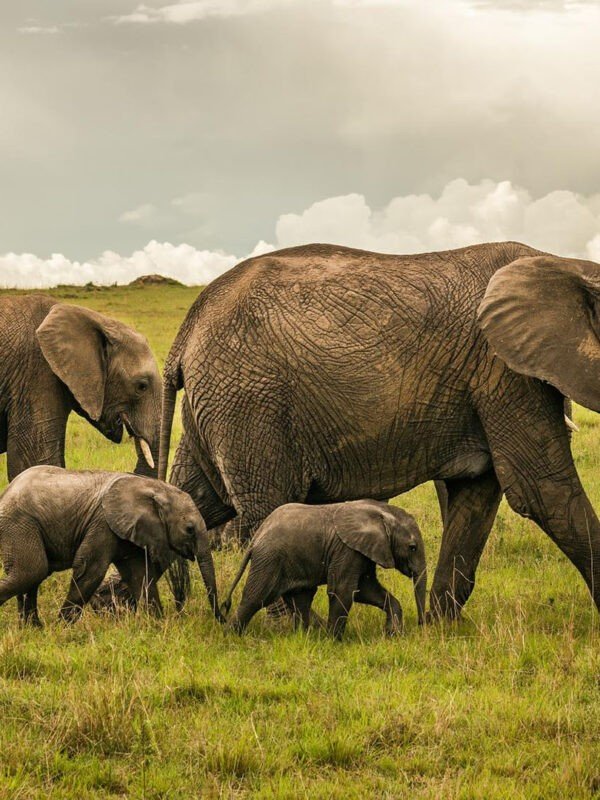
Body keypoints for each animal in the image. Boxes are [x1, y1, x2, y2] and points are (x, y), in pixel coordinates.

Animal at [0, 465, 222, 625]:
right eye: (190, 529)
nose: (221, 618)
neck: (155, 487)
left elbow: (141, 575)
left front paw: (156, 625)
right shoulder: (102, 523)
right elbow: (91, 571)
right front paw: (61, 627)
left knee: (32, 576)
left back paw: (34, 628)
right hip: (19, 523)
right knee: (32, 571)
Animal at [158, 241, 600, 621]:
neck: (568, 265)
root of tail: (187, 329)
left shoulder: (491, 377)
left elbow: (475, 497)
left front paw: (442, 628)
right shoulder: (502, 369)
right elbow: (540, 490)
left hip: (220, 403)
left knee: (196, 499)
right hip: (250, 402)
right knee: (269, 504)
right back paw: (294, 627)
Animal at [222, 500, 427, 639]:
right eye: (412, 547)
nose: (421, 624)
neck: (380, 511)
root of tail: (257, 537)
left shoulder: (364, 551)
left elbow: (365, 590)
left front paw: (392, 633)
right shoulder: (347, 550)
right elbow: (343, 590)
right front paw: (333, 641)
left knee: (300, 599)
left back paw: (302, 637)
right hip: (269, 559)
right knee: (256, 597)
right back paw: (232, 636)